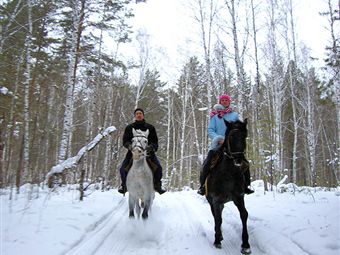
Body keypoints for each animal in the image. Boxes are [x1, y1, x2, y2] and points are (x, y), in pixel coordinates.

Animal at [205, 119, 250, 253]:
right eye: (231, 137)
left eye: (244, 136)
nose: (239, 159)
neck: (228, 173)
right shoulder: (215, 200)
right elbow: (218, 219)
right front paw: (217, 240)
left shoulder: (239, 197)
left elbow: (244, 215)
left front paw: (245, 244)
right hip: (211, 201)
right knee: (216, 216)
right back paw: (219, 235)